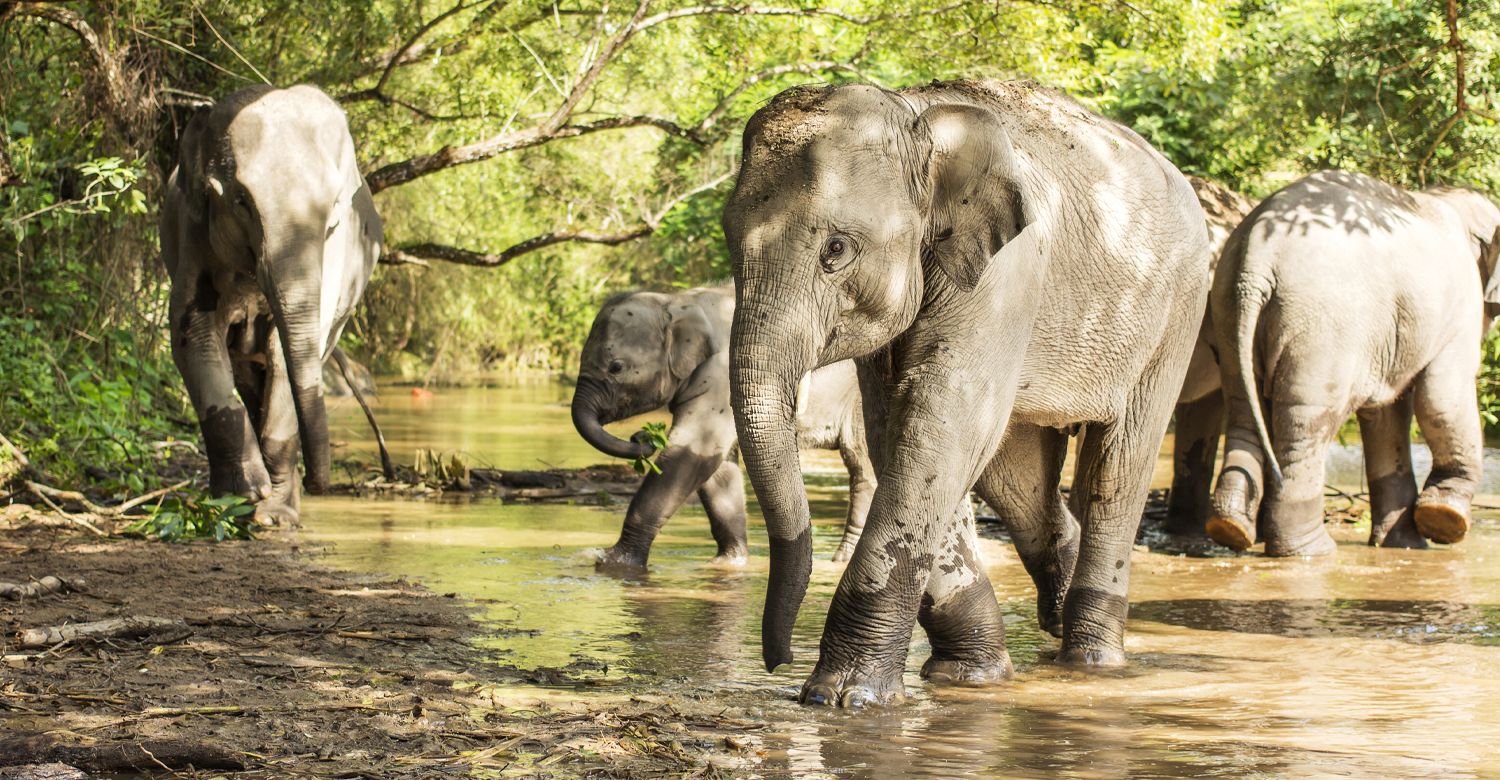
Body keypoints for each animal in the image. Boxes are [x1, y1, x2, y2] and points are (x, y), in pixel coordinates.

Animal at [160, 85, 382, 522]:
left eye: (334, 209)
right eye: (241, 201)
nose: (318, 484)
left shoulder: (336, 250)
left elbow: (285, 350)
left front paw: (272, 512)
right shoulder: (193, 233)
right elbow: (193, 335)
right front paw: (243, 495)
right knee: (246, 377)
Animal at [570, 284, 875, 567]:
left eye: (616, 367)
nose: (640, 436)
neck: (680, 301)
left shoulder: (723, 376)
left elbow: (691, 453)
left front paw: (612, 560)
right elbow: (718, 468)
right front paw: (728, 562)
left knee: (862, 467)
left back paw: (843, 560)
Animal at [725, 79, 1211, 707]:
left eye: (836, 249)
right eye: (729, 242)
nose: (776, 660)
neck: (918, 119)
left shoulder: (1009, 269)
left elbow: (938, 418)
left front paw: (843, 696)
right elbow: (901, 430)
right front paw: (968, 676)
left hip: (1177, 314)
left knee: (1118, 467)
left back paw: (1091, 661)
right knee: (1017, 481)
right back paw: (1055, 624)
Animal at [1208, 170, 1500, 556]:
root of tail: (1257, 253)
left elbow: (1386, 416)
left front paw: (1405, 545)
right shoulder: (1460, 307)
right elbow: (1441, 397)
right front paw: (1444, 520)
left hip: (1228, 307)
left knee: (1243, 406)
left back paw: (1231, 529)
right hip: (1324, 324)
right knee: (1306, 423)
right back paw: (1312, 550)